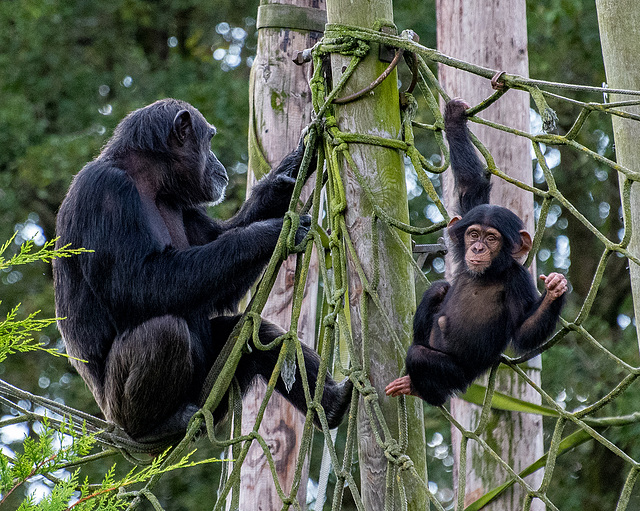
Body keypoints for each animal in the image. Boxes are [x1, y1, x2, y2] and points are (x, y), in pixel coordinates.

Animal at [55, 100, 352, 444]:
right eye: (210, 140)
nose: (217, 162)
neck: (151, 184)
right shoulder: (104, 192)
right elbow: (133, 284)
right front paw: (270, 233)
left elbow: (216, 257)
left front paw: (292, 167)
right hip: (121, 411)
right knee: (163, 332)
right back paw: (159, 425)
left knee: (253, 331)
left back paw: (332, 403)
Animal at [388, 98, 568, 406]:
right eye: (473, 234)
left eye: (492, 238)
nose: (477, 247)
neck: (488, 273)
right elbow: (470, 186)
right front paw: (455, 119)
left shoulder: (518, 278)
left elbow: (524, 329)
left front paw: (555, 289)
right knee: (437, 289)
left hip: (456, 377)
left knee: (421, 358)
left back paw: (419, 388)